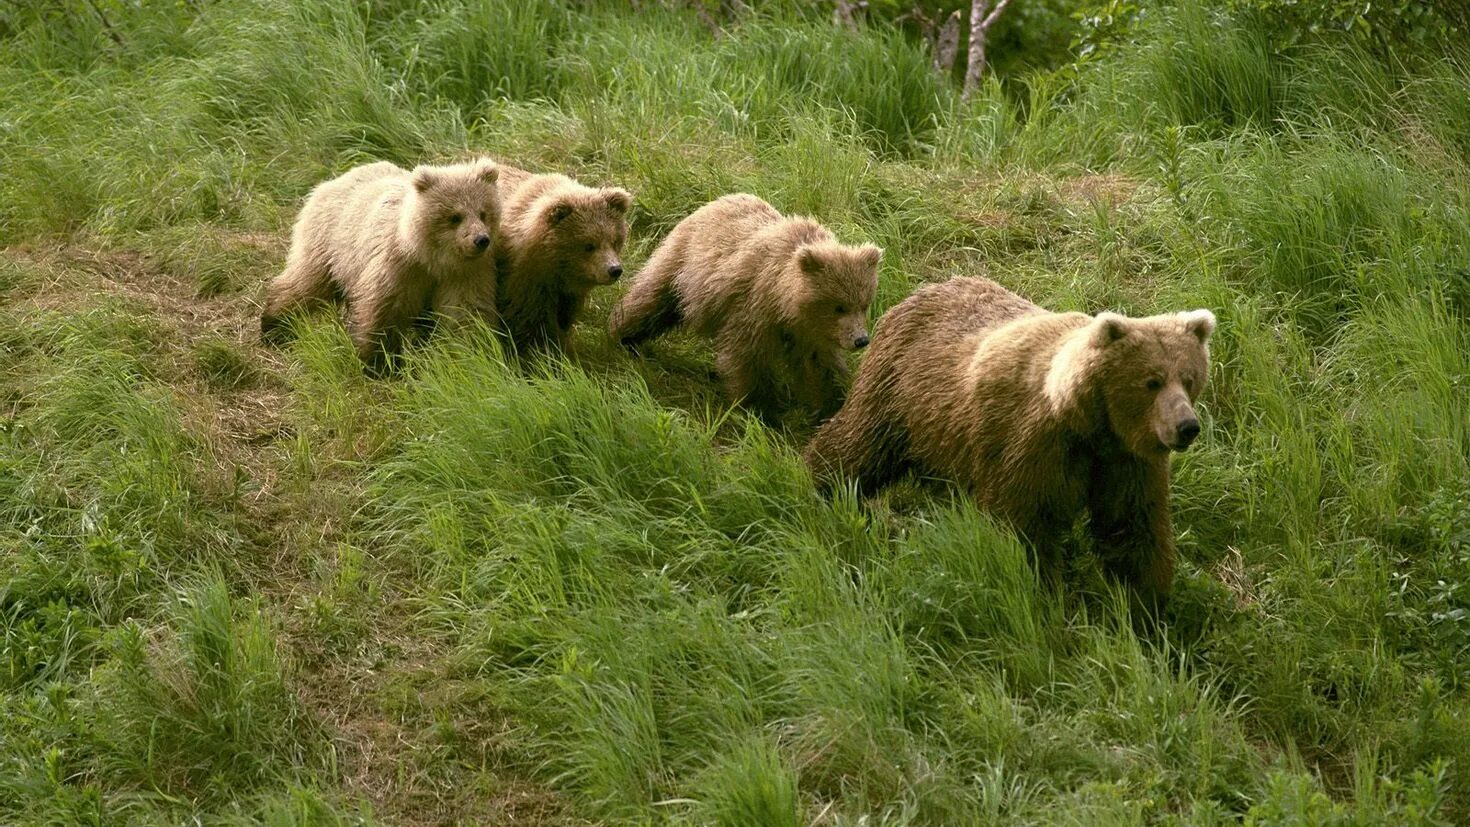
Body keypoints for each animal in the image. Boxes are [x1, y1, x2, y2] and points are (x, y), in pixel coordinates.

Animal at [258, 156, 499, 376]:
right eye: (455, 216)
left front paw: (471, 357)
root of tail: (333, 180)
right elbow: (383, 311)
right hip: (328, 245)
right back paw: (274, 327)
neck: (431, 258)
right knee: (306, 283)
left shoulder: (464, 274)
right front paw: (381, 365)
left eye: (483, 213)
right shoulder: (397, 267)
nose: (481, 240)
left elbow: (465, 313)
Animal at [493, 163, 632, 354]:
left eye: (614, 241)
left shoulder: (567, 294)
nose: (614, 270)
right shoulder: (524, 279)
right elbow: (527, 319)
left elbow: (563, 318)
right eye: (589, 245)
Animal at [605, 193, 870, 420]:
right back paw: (622, 334)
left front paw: (832, 405)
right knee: (652, 297)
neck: (785, 303)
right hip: (683, 264)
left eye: (864, 304)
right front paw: (760, 409)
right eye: (839, 306)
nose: (861, 340)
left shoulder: (810, 333)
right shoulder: (753, 306)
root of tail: (716, 201)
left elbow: (820, 367)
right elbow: (745, 356)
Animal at [805, 277, 1217, 608]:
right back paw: (820, 482)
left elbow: (1133, 529)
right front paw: (1043, 593)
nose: (1186, 426)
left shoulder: (1124, 462)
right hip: (898, 395)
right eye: (1152, 381)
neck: (1088, 425)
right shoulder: (1031, 447)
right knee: (857, 445)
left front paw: (1147, 605)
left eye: (1189, 377)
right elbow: (1024, 528)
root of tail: (918, 292)